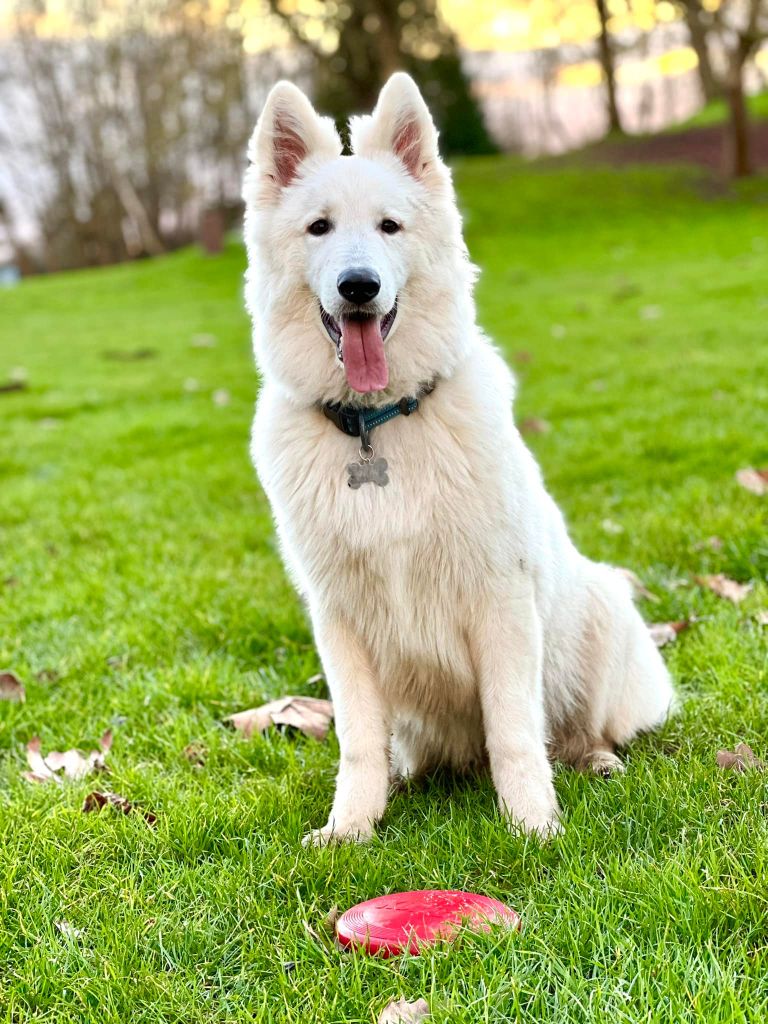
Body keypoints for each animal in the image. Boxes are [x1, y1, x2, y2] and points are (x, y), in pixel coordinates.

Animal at [242, 73, 674, 843]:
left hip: (600, 608)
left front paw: (533, 827)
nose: (359, 286)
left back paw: (595, 759)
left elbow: (514, 731)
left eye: (389, 227)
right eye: (319, 228)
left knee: (575, 729)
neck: (376, 424)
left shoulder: (499, 600)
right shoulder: (339, 621)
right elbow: (359, 743)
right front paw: (350, 831)